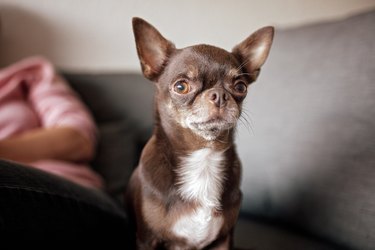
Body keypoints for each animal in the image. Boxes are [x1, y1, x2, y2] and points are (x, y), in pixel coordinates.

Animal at [126, 18, 274, 250]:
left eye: (240, 87)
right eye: (181, 86)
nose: (220, 95)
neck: (203, 156)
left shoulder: (224, 239)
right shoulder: (147, 239)